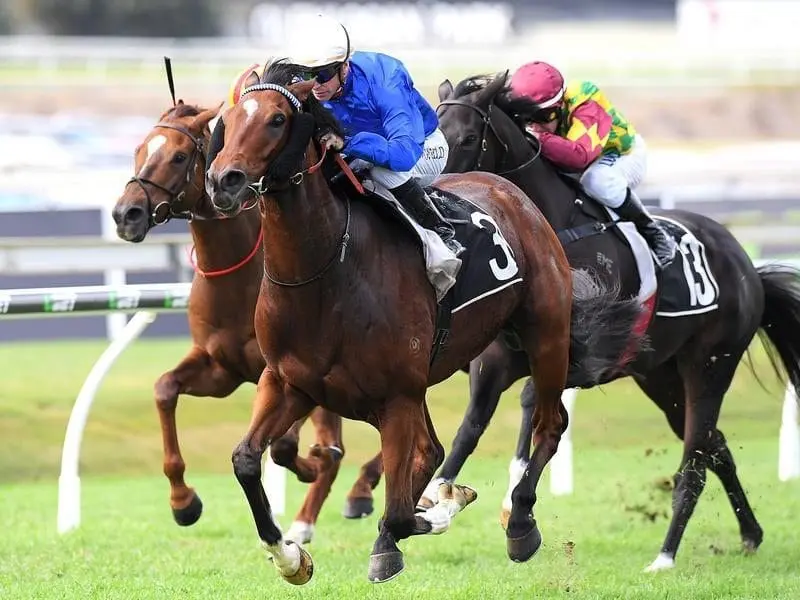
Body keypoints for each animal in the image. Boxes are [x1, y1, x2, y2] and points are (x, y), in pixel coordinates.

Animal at [111, 99, 384, 544]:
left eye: (179, 156)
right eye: (139, 150)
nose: (125, 214)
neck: (239, 278)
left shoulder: (290, 372)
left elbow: (287, 447)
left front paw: (311, 464)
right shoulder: (220, 368)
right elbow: (165, 389)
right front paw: (183, 502)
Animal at [422, 71, 800, 572]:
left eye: (467, 138)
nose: (439, 199)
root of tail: (745, 264)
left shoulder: (586, 355)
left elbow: (535, 407)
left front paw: (514, 508)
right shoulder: (496, 360)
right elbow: (471, 427)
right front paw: (439, 500)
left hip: (710, 365)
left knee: (695, 461)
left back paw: (665, 557)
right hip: (661, 378)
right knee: (715, 448)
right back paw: (750, 534)